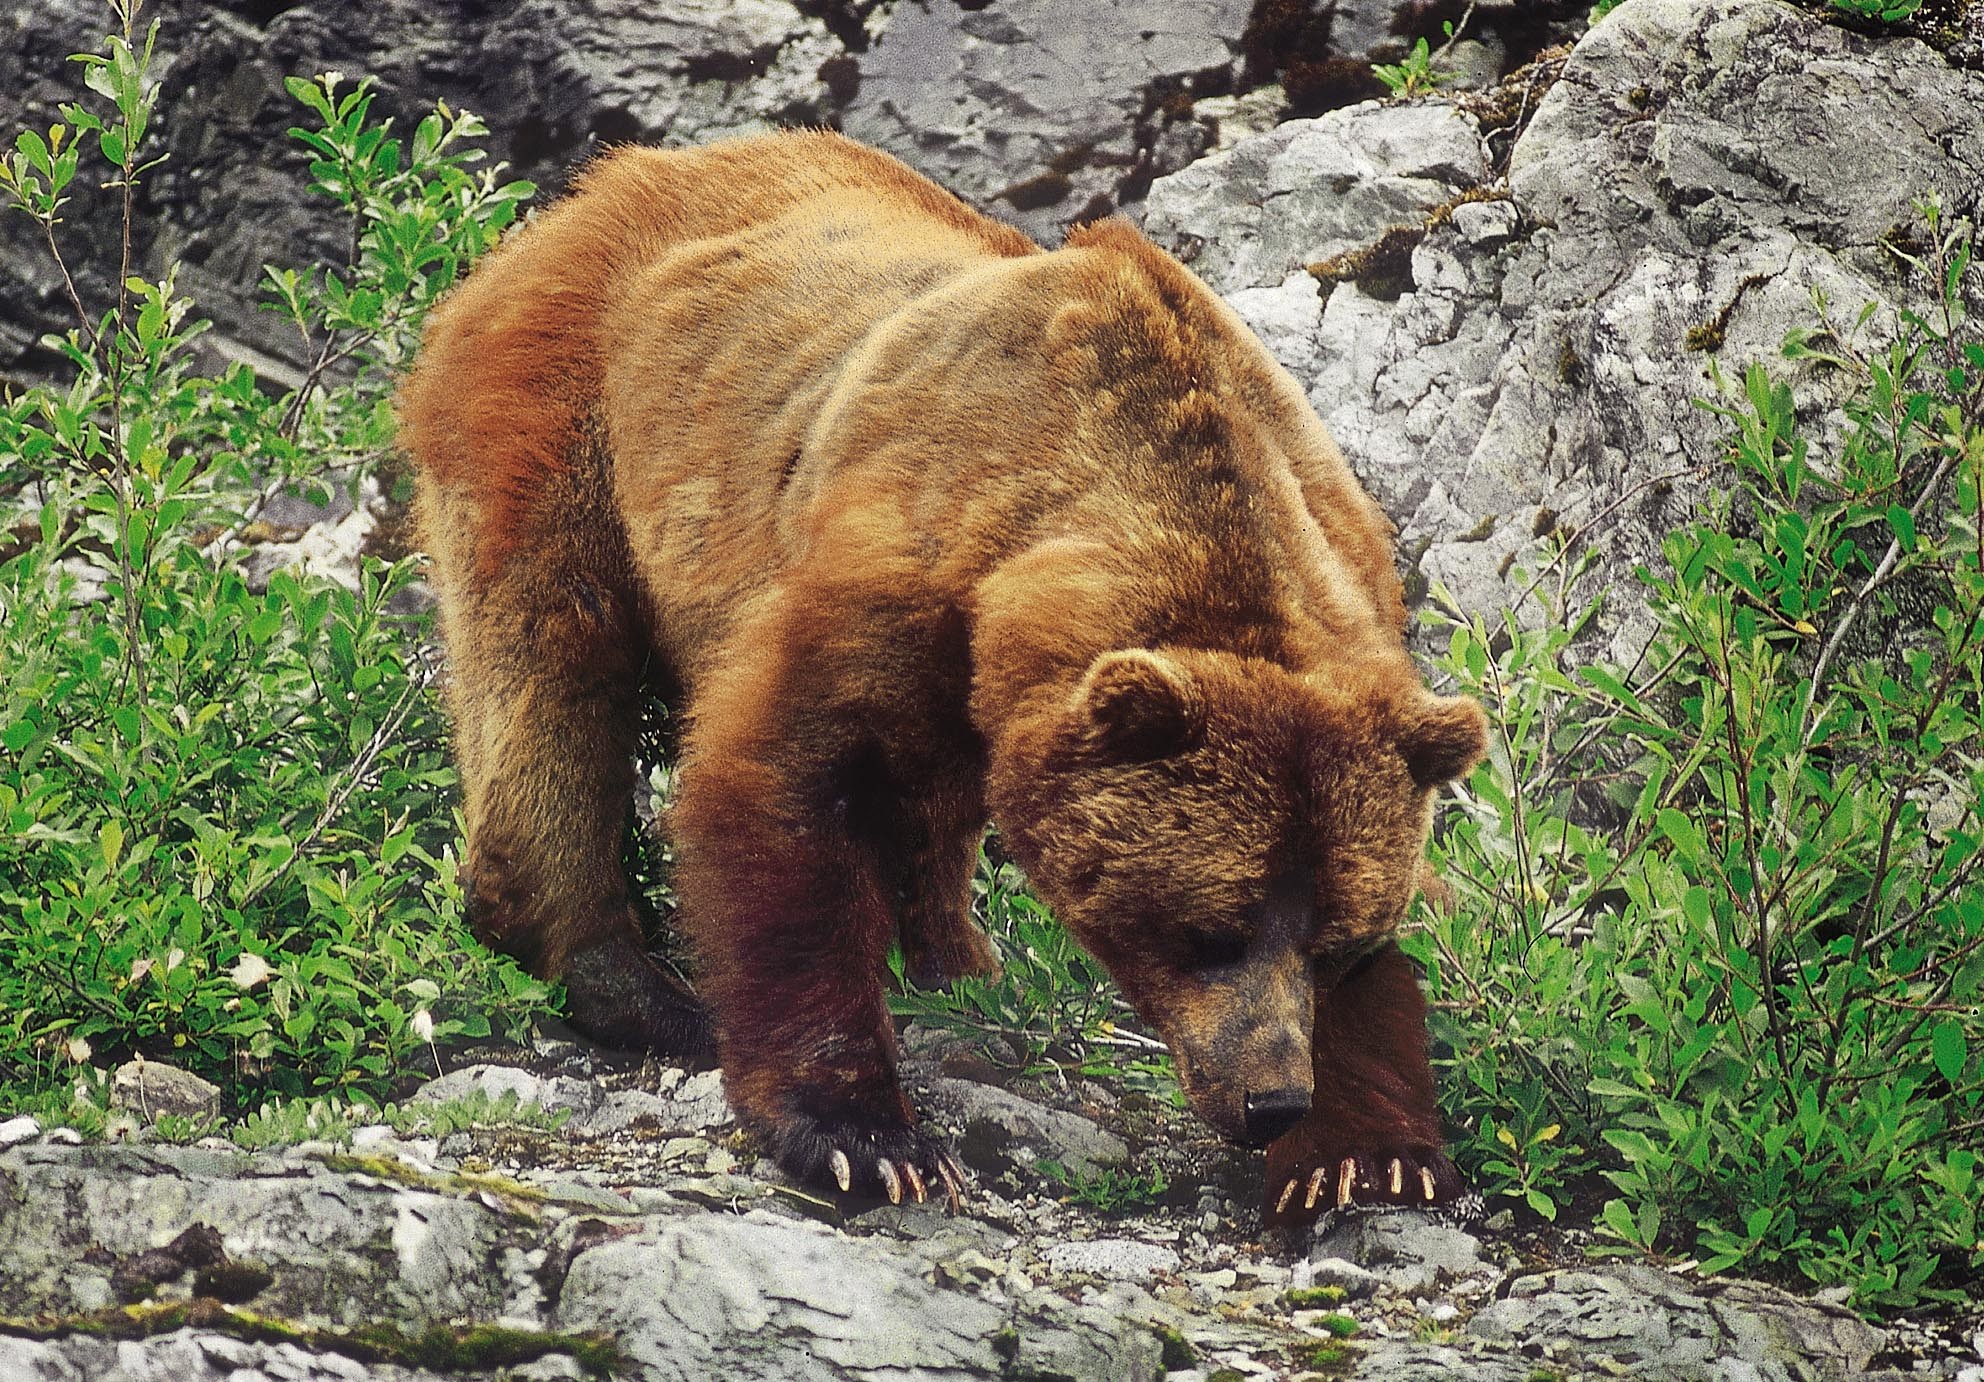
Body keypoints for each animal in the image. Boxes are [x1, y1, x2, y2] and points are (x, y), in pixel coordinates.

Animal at [397, 130, 1487, 1221]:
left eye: (1337, 940)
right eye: (1207, 928)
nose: (1271, 1098)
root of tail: (595, 185)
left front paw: (1369, 1152)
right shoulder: (895, 558)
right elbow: (779, 778)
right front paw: (867, 1138)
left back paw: (957, 964)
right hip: (571, 406)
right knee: (549, 656)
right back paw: (624, 979)